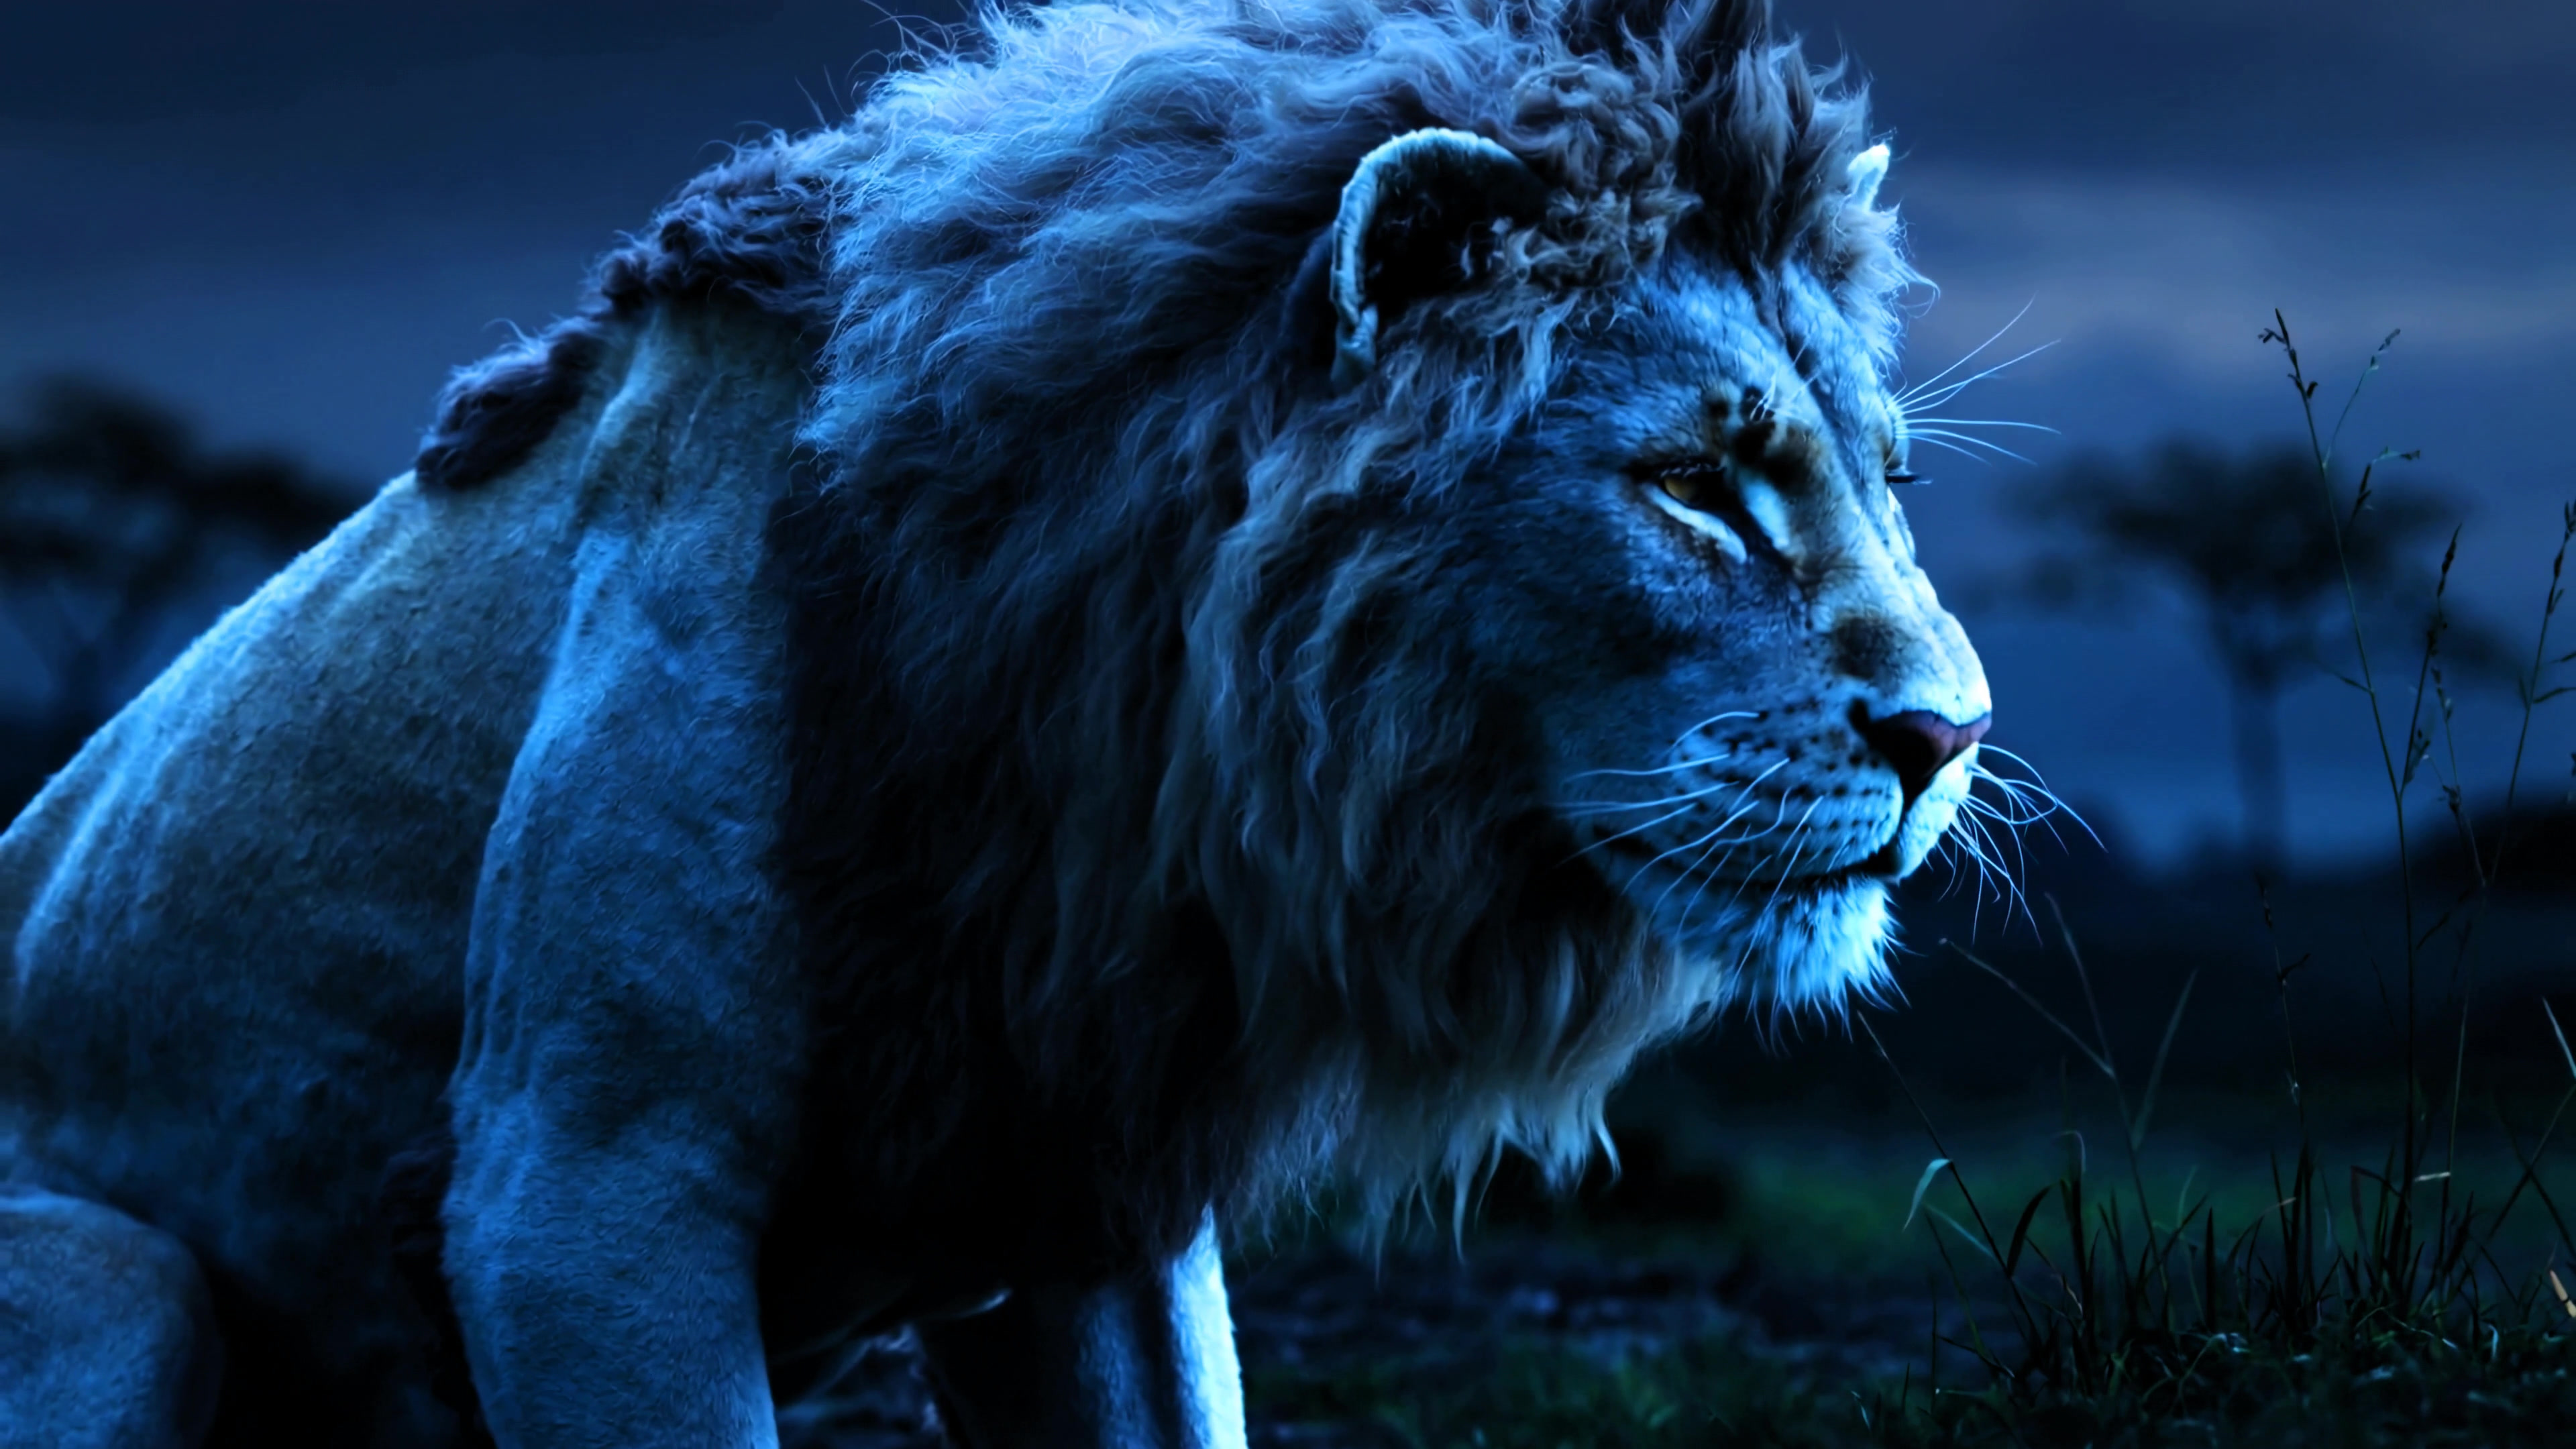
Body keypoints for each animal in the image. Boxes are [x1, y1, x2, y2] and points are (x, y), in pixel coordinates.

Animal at [0, 0, 1991, 1444]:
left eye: (1888, 480)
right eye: (1694, 484)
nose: (1950, 736)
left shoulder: (1094, 1201)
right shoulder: (580, 1188)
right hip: (123, 1281)